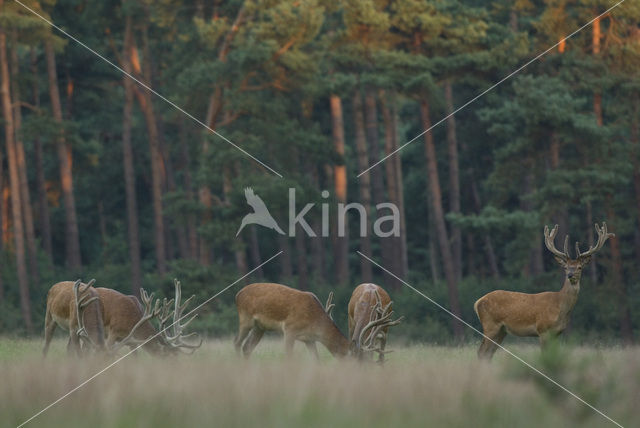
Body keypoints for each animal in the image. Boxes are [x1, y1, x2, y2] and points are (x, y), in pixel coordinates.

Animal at [476, 222, 616, 360]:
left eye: (579, 267)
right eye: (565, 267)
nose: (570, 275)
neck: (560, 307)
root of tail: (478, 302)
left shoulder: (557, 333)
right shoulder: (542, 329)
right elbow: (544, 355)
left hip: (502, 330)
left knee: (488, 354)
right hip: (490, 325)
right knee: (481, 352)